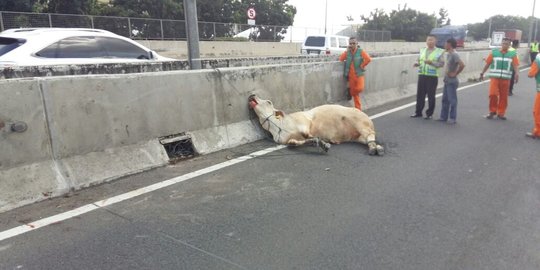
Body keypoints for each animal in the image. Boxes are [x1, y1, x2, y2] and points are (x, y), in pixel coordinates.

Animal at [249, 94, 384, 155]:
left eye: (268, 102)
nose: (252, 95)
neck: (279, 127)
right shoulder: (287, 140)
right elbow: (296, 143)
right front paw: (317, 142)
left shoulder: (305, 122)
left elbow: (309, 134)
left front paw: (324, 143)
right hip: (359, 137)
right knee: (368, 140)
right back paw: (373, 148)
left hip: (361, 124)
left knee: (371, 136)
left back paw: (376, 149)